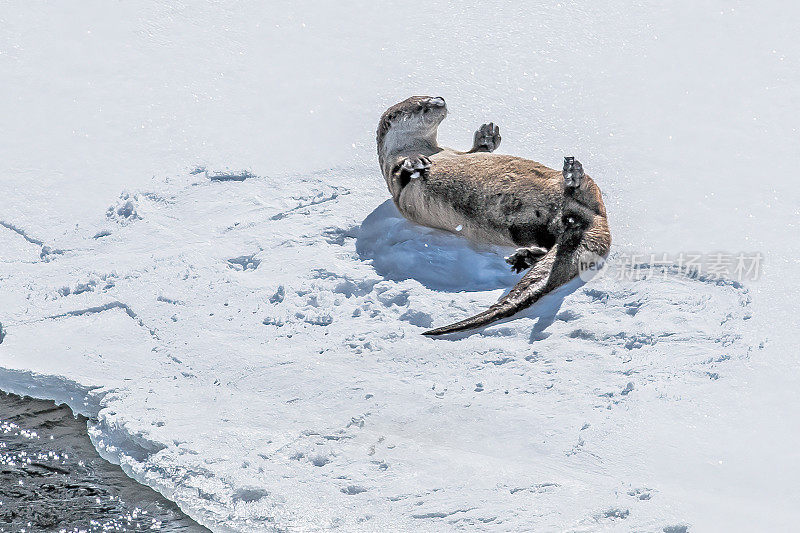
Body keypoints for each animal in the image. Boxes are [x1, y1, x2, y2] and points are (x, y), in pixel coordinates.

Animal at [376, 95, 612, 334]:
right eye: (421, 105)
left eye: (432, 95)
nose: (440, 100)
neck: (431, 151)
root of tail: (596, 219)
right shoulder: (396, 183)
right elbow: (400, 174)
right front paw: (415, 163)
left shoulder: (455, 153)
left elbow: (474, 152)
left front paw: (487, 137)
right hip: (527, 227)